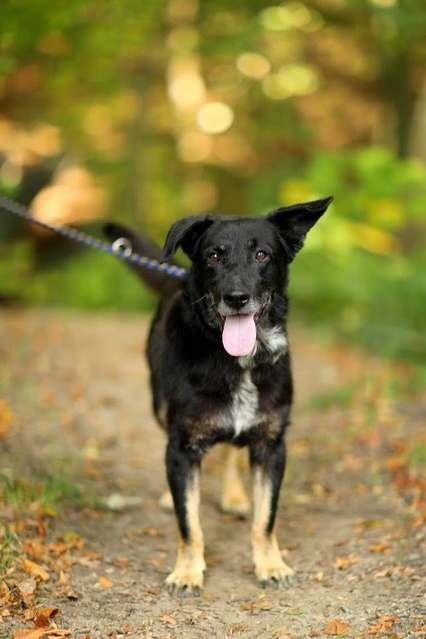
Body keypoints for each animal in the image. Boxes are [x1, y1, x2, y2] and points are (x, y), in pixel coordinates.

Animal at [105, 198, 332, 596]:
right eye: (213, 255)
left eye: (261, 254)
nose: (236, 298)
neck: (238, 361)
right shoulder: (182, 445)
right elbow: (188, 521)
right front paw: (187, 571)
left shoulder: (272, 446)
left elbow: (266, 518)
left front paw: (271, 564)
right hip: (159, 405)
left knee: (230, 451)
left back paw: (235, 496)